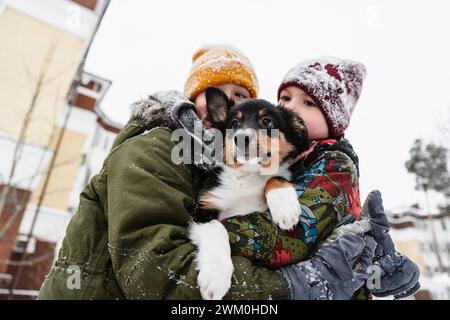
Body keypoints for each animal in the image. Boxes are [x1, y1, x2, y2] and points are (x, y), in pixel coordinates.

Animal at [188, 87, 308, 300]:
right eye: (234, 124)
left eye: (267, 121)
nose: (241, 137)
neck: (248, 175)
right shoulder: (202, 210)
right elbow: (217, 228)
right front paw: (216, 275)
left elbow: (275, 178)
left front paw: (285, 210)